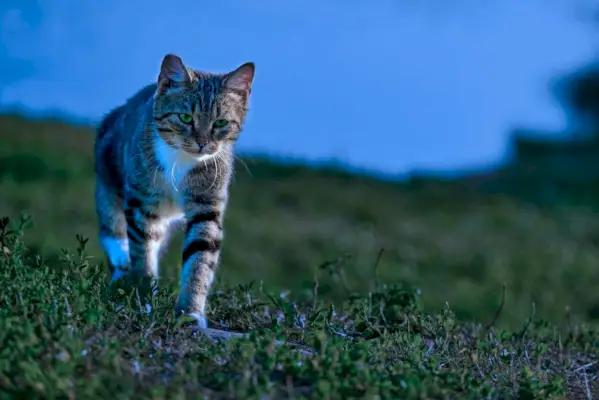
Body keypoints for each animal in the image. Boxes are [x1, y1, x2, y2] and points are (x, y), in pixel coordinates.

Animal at [94, 53, 255, 328]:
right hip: (108, 183)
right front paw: (144, 293)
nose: (202, 143)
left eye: (221, 122)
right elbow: (142, 249)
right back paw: (121, 272)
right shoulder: (140, 201)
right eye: (186, 118)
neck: (181, 159)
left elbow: (200, 255)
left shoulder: (206, 205)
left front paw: (190, 312)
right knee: (114, 231)